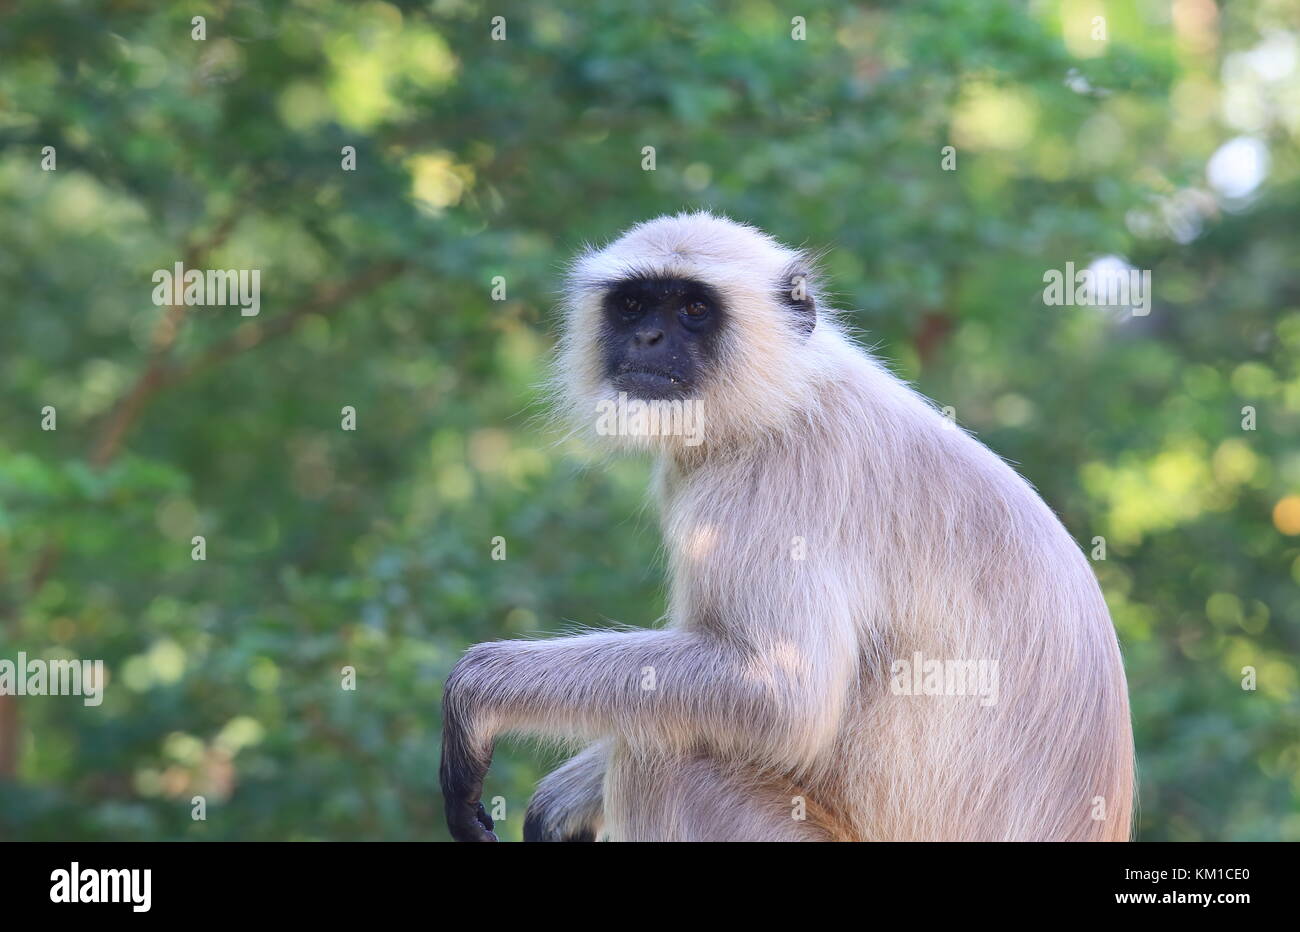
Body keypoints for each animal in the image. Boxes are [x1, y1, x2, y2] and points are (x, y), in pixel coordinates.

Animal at [441, 210, 1133, 842]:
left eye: (694, 308)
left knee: (660, 761)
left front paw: (478, 692)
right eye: (633, 305)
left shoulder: (779, 484)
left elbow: (781, 698)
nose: (649, 338)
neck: (785, 396)